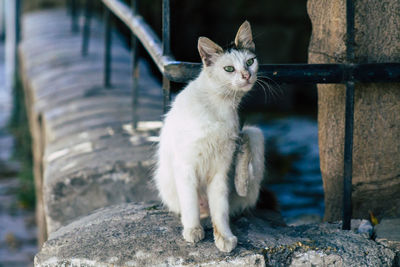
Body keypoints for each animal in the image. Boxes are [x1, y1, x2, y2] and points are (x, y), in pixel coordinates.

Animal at [154, 21, 266, 253]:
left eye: (250, 62)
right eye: (229, 69)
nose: (247, 76)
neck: (220, 104)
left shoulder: (220, 170)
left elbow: (220, 210)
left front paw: (224, 237)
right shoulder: (185, 165)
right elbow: (190, 204)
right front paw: (193, 231)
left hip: (257, 135)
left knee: (249, 138)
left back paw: (241, 182)